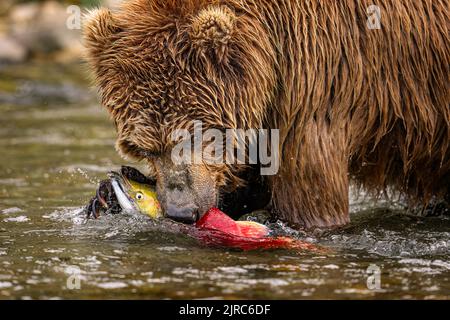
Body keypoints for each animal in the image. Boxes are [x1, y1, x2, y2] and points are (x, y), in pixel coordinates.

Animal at [82, 1, 448, 229]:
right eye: (143, 146)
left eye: (195, 134)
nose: (181, 210)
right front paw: (103, 198)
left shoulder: (316, 81)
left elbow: (309, 197)